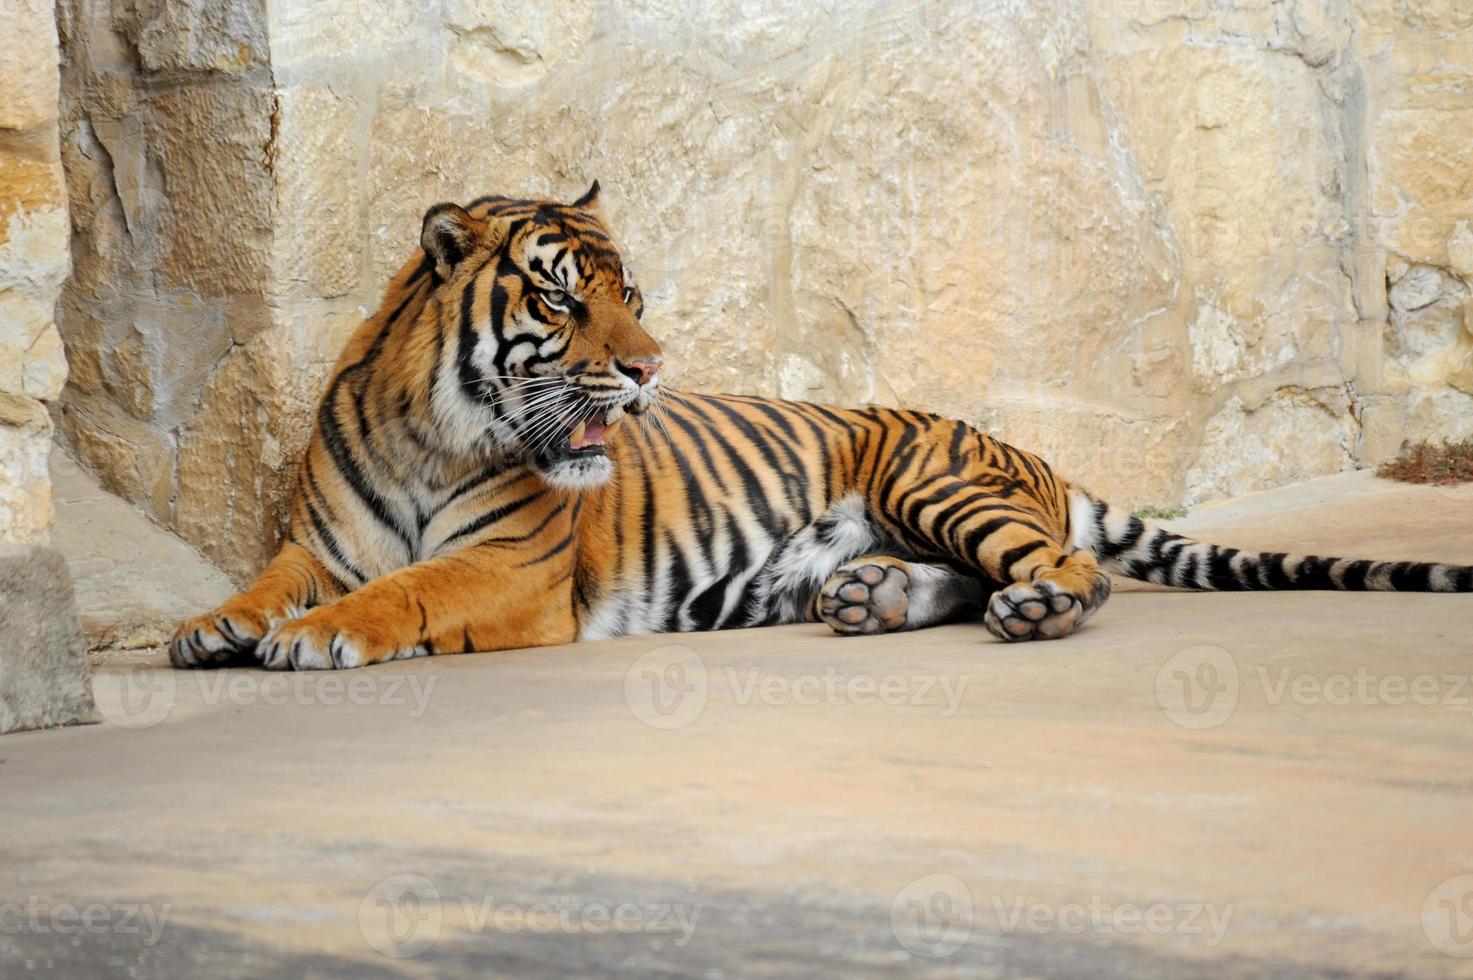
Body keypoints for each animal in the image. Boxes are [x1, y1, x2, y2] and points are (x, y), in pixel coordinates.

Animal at [169, 181, 1473, 672]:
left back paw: (1029, 608)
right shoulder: (319, 540)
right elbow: (272, 576)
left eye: (630, 294)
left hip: (933, 481)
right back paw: (873, 598)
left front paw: (314, 638)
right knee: (968, 574)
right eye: (563, 298)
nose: (649, 368)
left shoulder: (511, 568)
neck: (429, 427)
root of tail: (1031, 450)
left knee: (1074, 567)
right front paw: (209, 624)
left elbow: (407, 590)